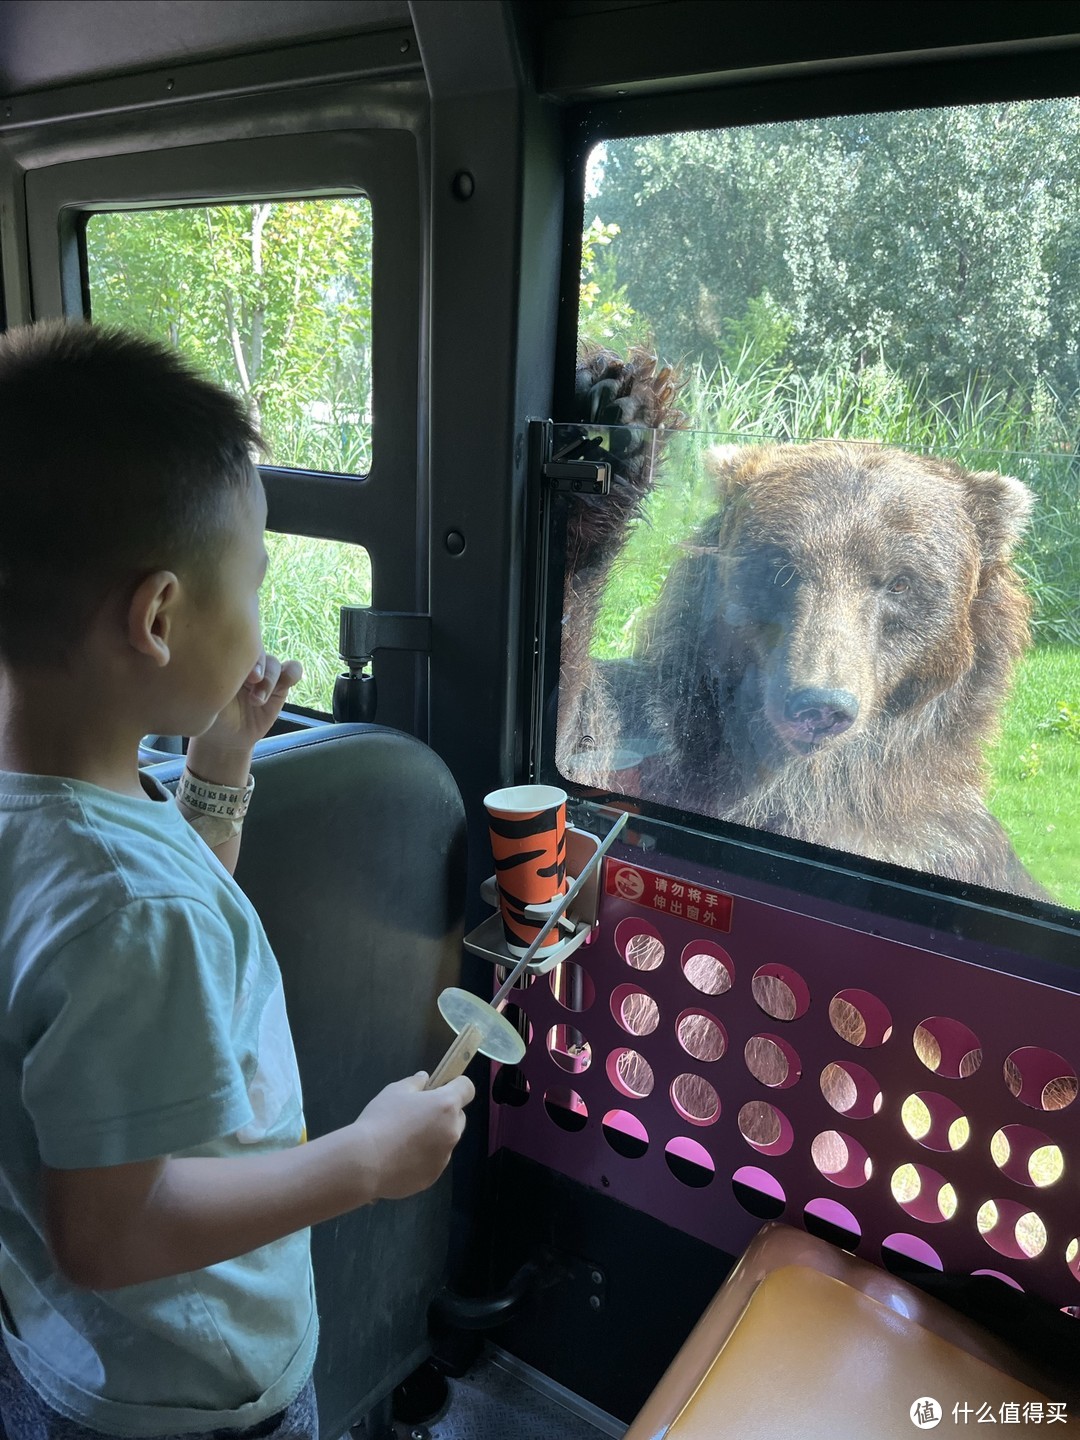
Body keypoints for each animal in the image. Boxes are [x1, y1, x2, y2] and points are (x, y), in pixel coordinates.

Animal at [561, 349, 1054, 898]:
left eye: (900, 583)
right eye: (780, 568)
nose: (820, 704)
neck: (808, 780)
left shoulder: (943, 844)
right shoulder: (661, 742)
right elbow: (579, 732)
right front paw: (614, 415)